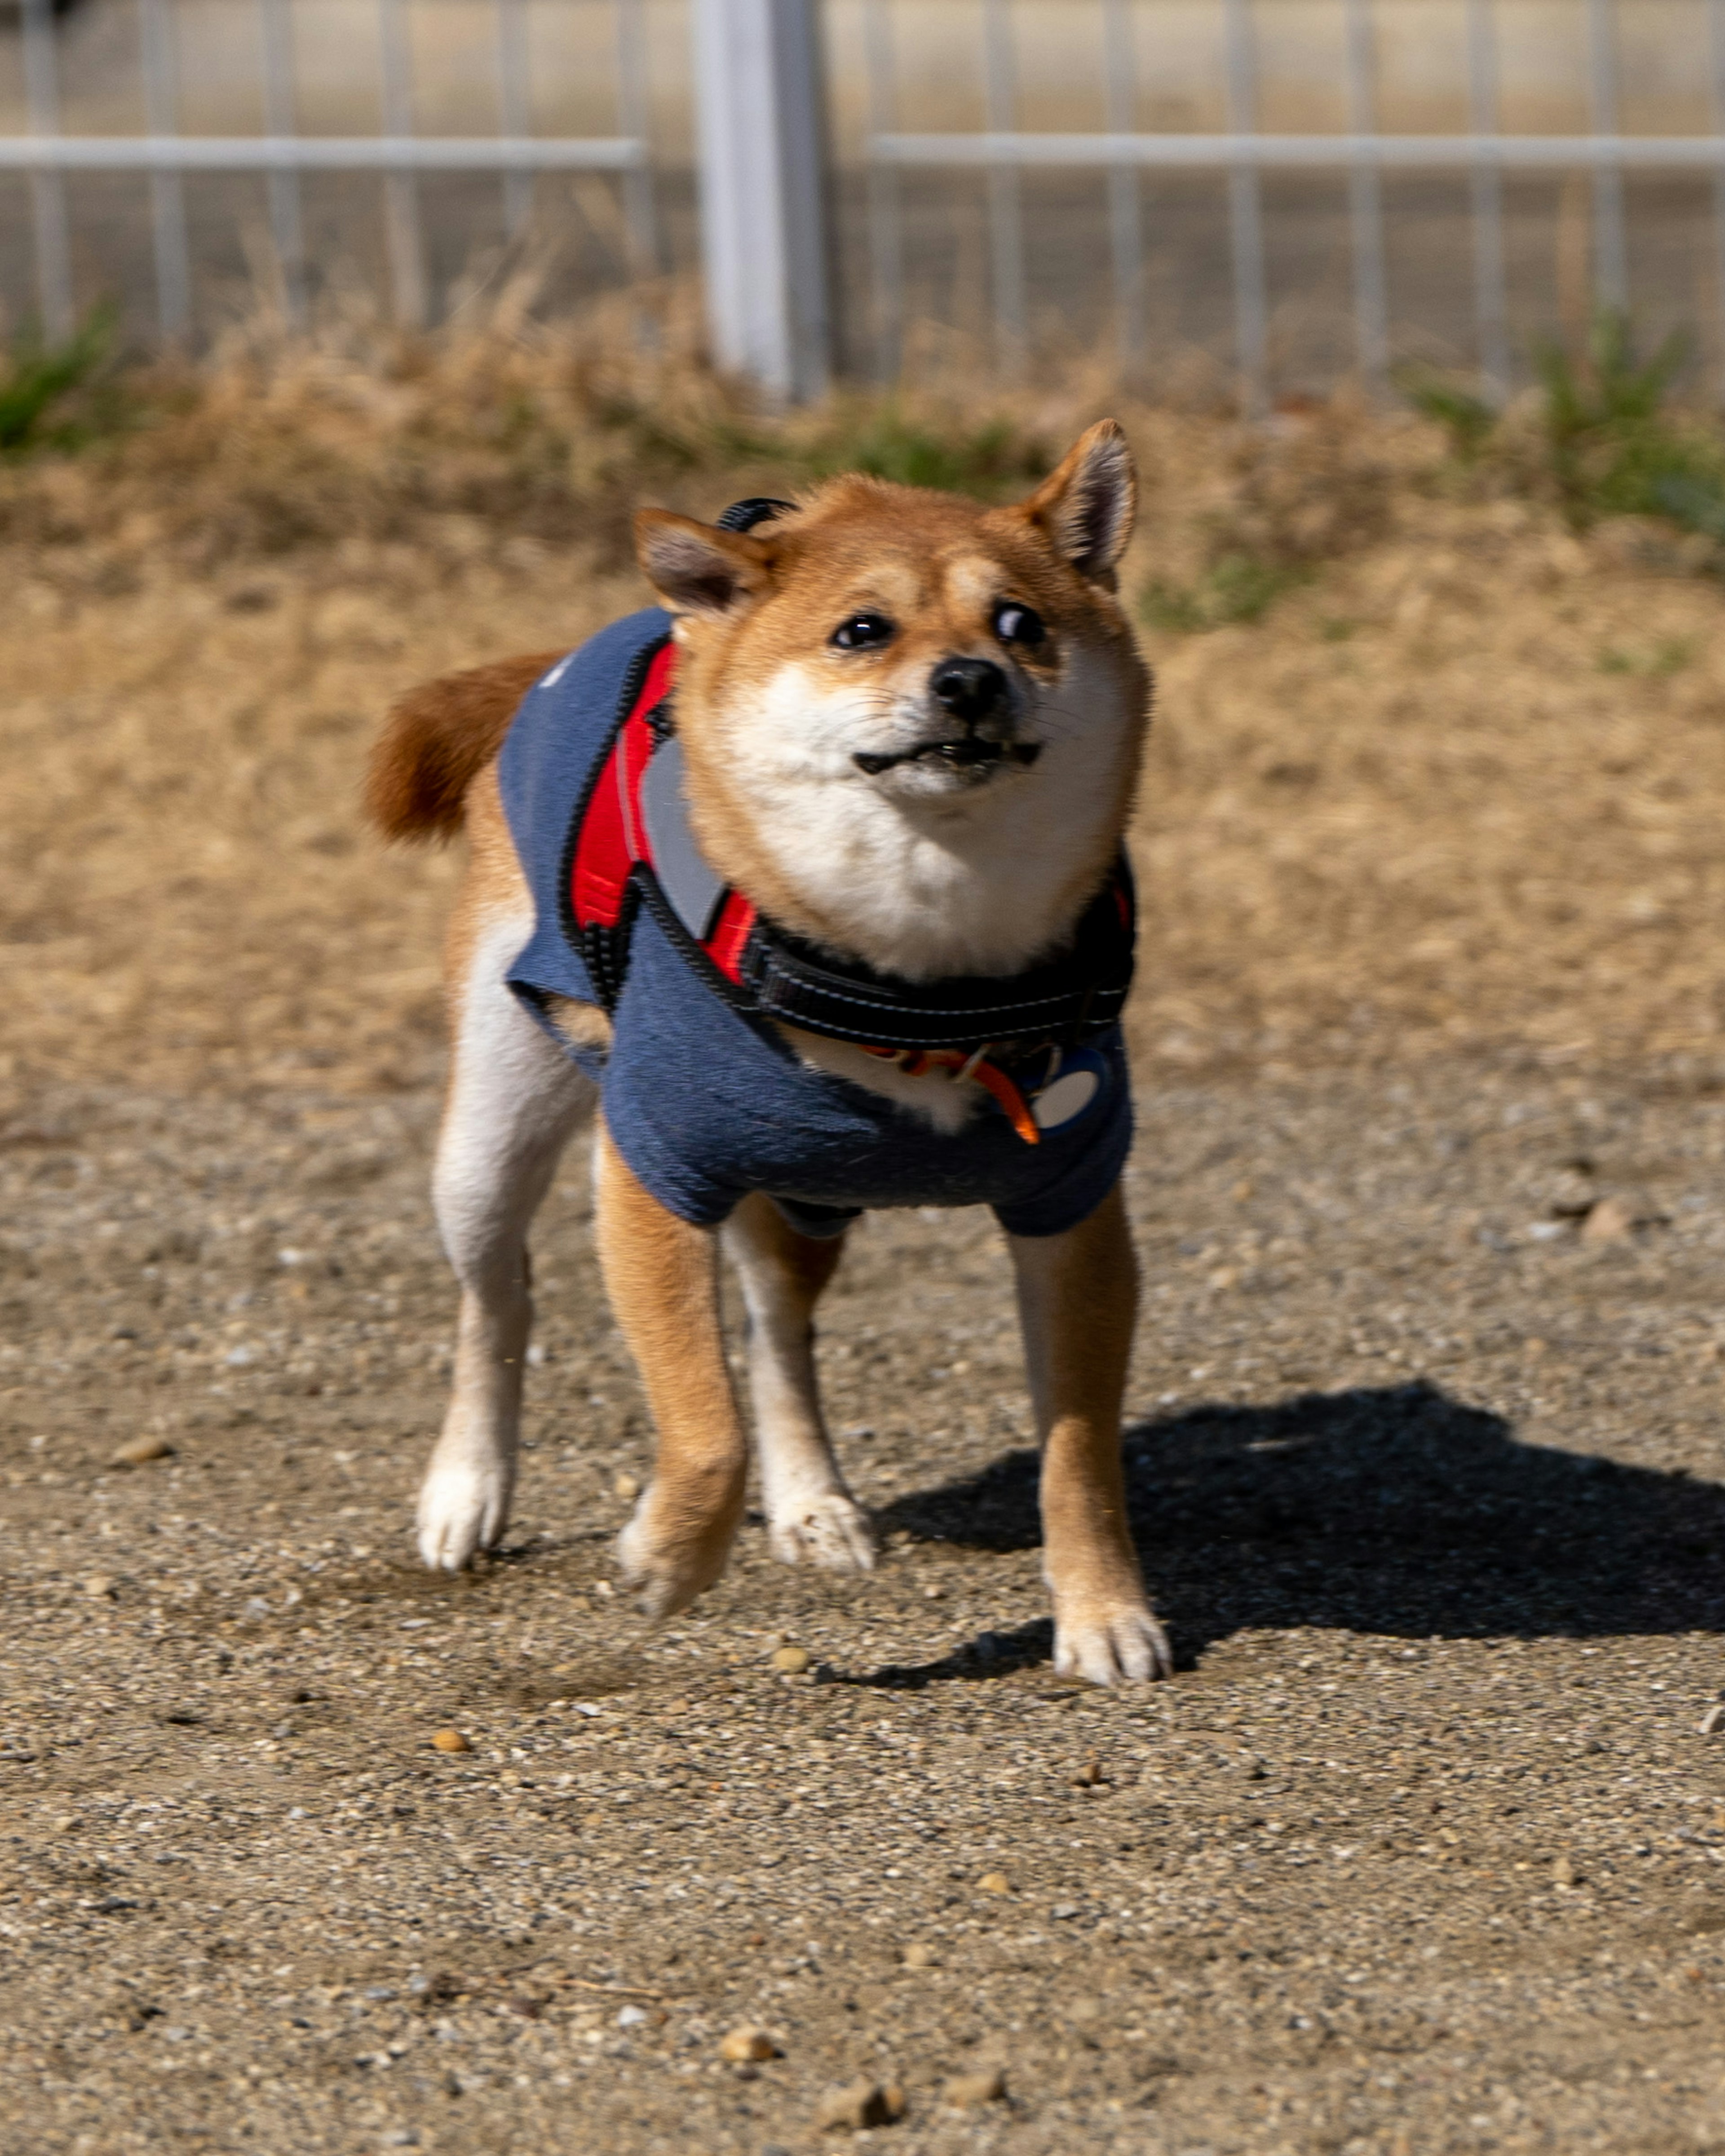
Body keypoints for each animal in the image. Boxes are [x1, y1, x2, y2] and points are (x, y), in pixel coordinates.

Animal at [367, 420, 1173, 1690]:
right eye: (862, 630)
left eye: (1019, 623)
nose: (968, 680)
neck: (921, 967)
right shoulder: (651, 1174)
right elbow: (702, 1421)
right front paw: (667, 1553)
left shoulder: (1074, 1206)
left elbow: (1078, 1455)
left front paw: (1103, 1610)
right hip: (489, 1145)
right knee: (497, 1307)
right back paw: (467, 1491)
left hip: (800, 1201)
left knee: (777, 1336)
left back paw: (812, 1502)